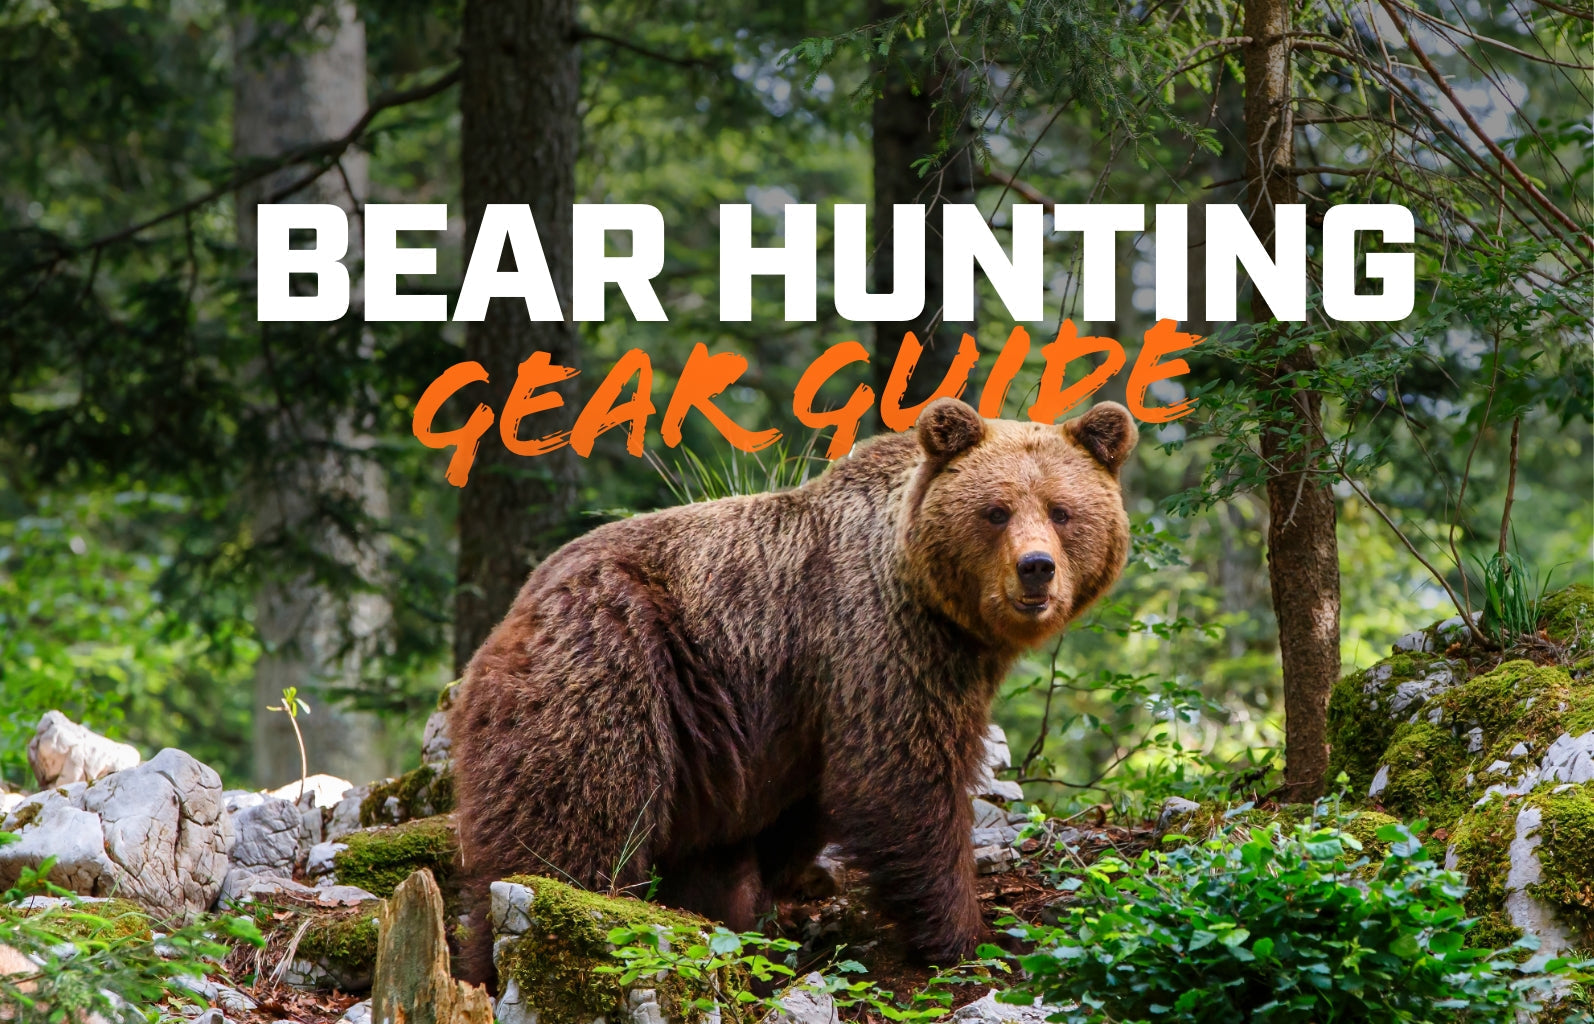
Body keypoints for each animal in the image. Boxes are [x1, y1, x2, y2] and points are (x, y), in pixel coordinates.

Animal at [451, 397, 1137, 982]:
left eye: (1062, 511)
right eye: (996, 511)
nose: (1035, 568)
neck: (944, 611)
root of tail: (512, 615)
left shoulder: (817, 702)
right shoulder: (880, 640)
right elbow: (905, 782)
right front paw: (964, 936)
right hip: (613, 663)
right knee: (570, 826)